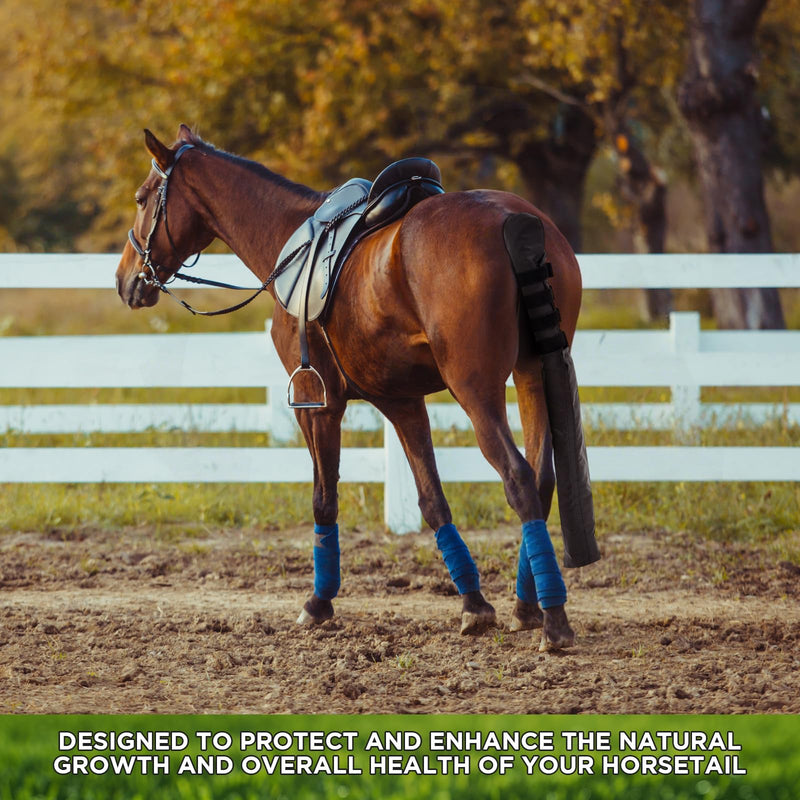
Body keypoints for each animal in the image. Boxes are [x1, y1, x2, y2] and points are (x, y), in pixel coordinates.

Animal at [116, 124, 591, 651]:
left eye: (141, 198)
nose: (125, 279)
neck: (288, 242)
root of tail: (516, 222)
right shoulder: (402, 401)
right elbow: (432, 500)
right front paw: (473, 603)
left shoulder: (317, 405)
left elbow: (324, 498)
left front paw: (318, 603)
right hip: (531, 373)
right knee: (542, 479)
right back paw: (527, 606)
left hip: (476, 391)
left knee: (520, 479)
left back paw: (554, 620)